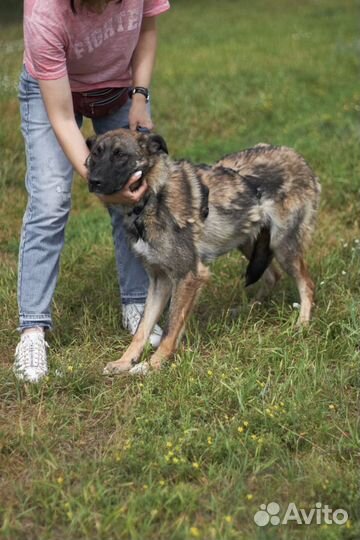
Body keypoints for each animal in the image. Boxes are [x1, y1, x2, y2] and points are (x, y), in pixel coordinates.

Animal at [85, 130, 320, 376]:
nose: (93, 181)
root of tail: (297, 156)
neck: (153, 197)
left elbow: (170, 330)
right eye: (95, 155)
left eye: (120, 155)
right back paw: (248, 310)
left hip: (283, 246)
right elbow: (142, 328)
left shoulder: (189, 276)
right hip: (246, 240)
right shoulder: (160, 280)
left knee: (307, 283)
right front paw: (124, 361)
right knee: (272, 275)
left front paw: (153, 365)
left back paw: (302, 324)